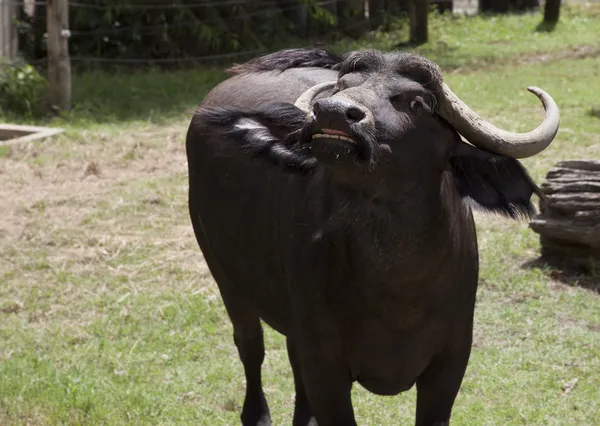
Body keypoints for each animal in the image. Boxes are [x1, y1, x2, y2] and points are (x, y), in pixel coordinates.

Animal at [185, 47, 560, 426]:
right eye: (342, 86)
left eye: (418, 103)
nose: (333, 112)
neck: (398, 290)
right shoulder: (324, 365)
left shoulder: (451, 362)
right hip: (224, 276)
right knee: (250, 345)